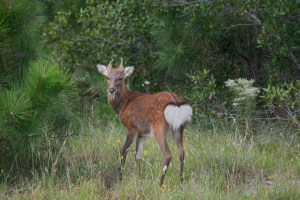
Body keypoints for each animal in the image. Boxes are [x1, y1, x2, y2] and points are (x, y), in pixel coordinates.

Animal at [97, 58, 193, 186]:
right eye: (107, 77)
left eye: (120, 78)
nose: (111, 90)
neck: (124, 104)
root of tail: (176, 102)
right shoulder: (142, 134)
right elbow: (138, 155)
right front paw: (139, 177)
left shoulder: (132, 127)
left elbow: (124, 150)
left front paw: (120, 178)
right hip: (179, 129)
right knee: (182, 153)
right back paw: (181, 181)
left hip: (159, 127)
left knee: (167, 154)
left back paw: (159, 183)